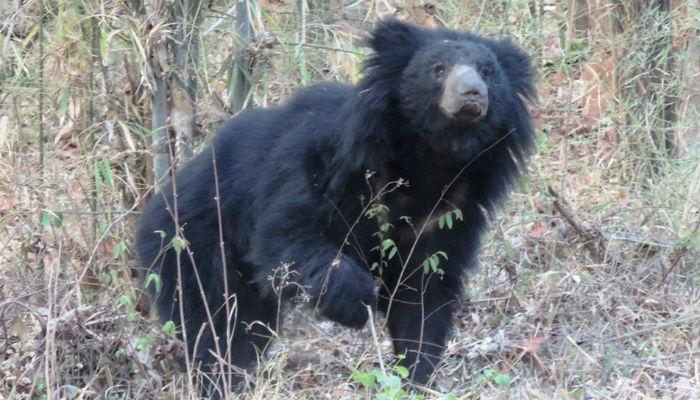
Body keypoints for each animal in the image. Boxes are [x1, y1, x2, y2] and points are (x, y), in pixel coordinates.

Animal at [137, 19, 536, 390]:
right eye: (438, 68)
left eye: (487, 71)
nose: (472, 93)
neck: (430, 157)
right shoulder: (328, 161)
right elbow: (287, 234)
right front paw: (357, 302)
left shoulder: (450, 210)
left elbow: (423, 291)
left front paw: (417, 373)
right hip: (195, 243)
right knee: (219, 320)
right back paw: (220, 378)